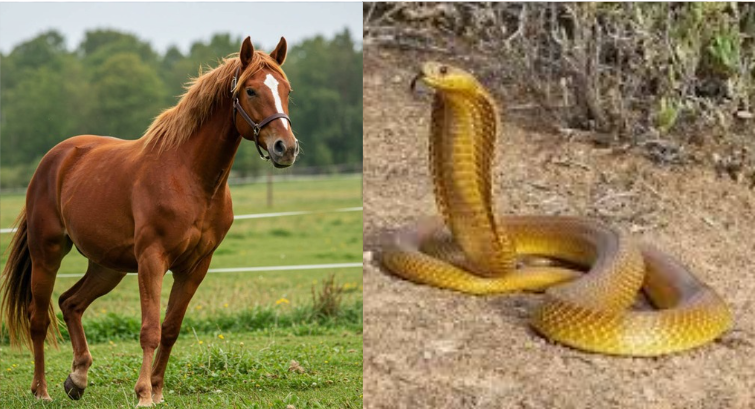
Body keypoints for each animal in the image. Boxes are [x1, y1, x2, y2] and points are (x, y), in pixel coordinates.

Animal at [0, 36, 299, 406]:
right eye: (251, 91)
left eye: (286, 90)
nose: (285, 148)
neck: (189, 177)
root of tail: (54, 159)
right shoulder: (152, 261)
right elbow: (150, 330)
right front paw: (142, 392)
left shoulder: (195, 266)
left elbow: (170, 329)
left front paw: (156, 389)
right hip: (47, 254)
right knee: (38, 318)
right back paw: (41, 390)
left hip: (107, 267)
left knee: (70, 303)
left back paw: (78, 378)